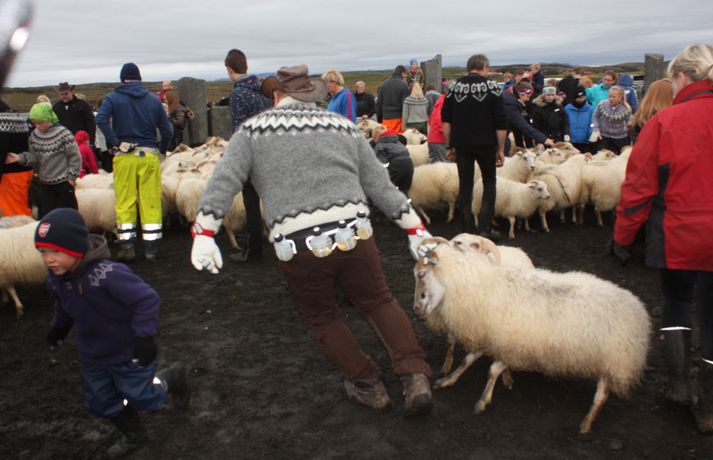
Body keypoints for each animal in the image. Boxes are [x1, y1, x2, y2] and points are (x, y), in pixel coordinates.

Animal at [412, 241, 651, 433]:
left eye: (421, 275)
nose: (416, 309)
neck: (478, 286)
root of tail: (640, 313)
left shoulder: (512, 344)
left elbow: (492, 370)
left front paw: (483, 401)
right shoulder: (491, 335)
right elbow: (468, 360)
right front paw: (448, 380)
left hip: (613, 361)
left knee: (601, 396)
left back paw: (586, 423)